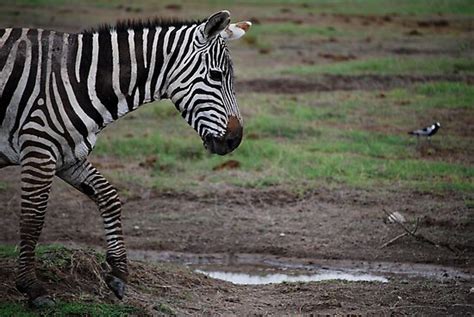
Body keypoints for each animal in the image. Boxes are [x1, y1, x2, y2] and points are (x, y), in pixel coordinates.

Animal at [0, 10, 252, 306]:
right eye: (215, 75)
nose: (235, 140)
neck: (78, 79)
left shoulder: (67, 153)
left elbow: (108, 196)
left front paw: (118, 273)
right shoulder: (38, 147)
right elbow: (33, 219)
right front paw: (32, 287)